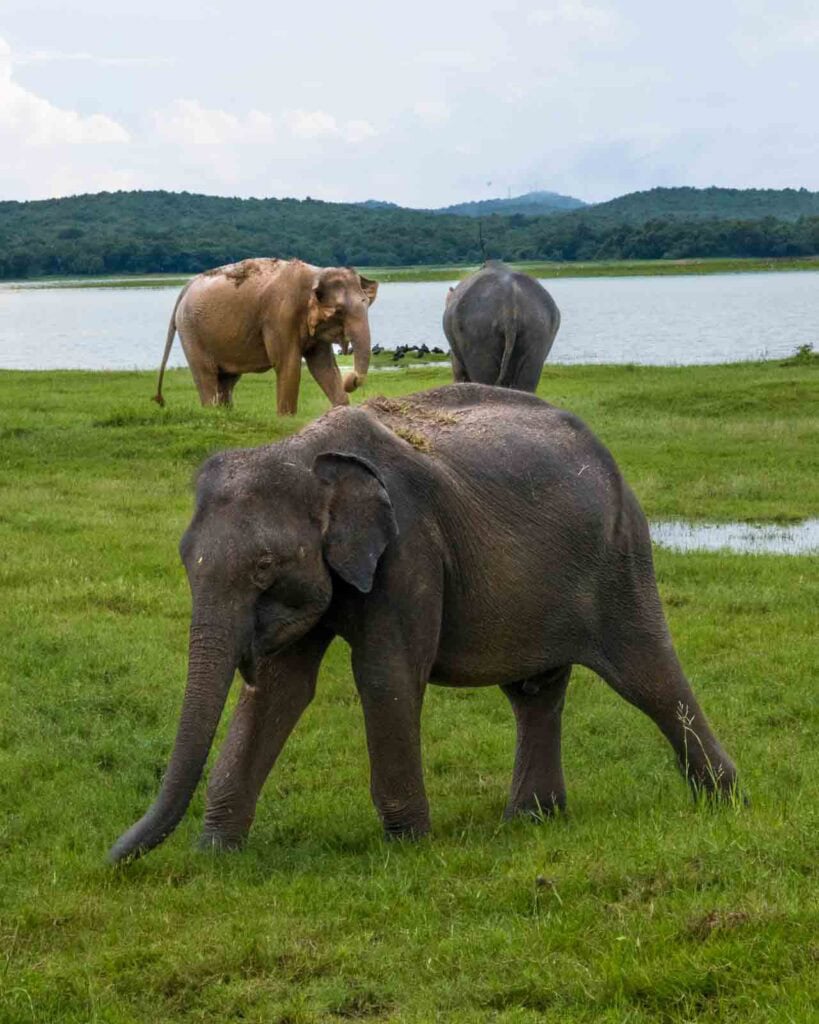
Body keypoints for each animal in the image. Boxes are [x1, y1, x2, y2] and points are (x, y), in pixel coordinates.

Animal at [109, 384, 739, 863]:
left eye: (263, 565)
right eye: (185, 559)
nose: (114, 858)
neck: (303, 451)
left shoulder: (409, 547)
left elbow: (384, 674)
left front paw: (408, 845)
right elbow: (281, 689)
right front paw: (216, 854)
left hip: (618, 556)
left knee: (646, 673)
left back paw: (724, 801)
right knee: (535, 691)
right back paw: (531, 820)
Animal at [153, 257, 378, 415]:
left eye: (367, 304)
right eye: (339, 311)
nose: (351, 379)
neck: (316, 272)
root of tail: (187, 285)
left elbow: (324, 366)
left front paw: (343, 411)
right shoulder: (280, 317)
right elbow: (288, 365)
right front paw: (286, 418)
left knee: (227, 379)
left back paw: (226, 414)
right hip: (191, 333)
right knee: (206, 375)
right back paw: (212, 411)